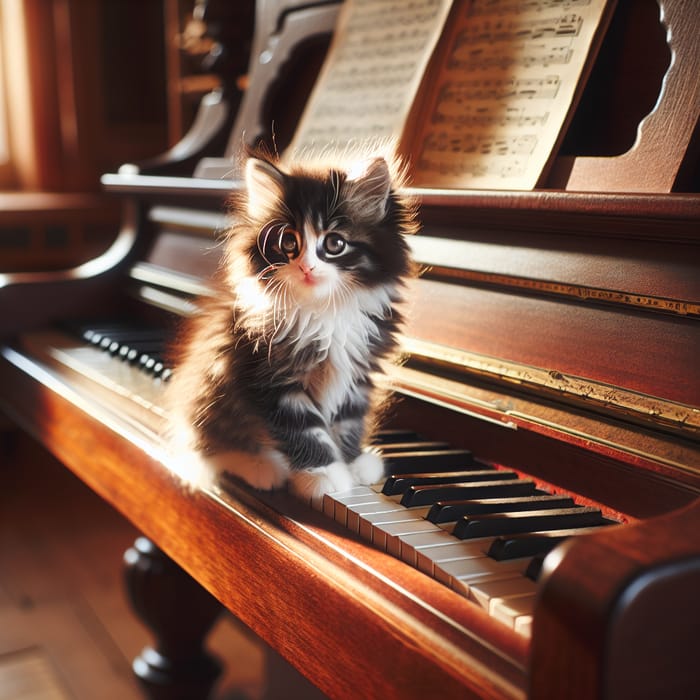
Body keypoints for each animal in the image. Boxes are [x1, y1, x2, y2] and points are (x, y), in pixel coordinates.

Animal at [165, 153, 416, 504]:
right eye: (288, 242)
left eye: (335, 243)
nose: (307, 267)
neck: (324, 310)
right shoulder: (272, 376)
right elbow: (306, 429)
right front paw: (323, 474)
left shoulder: (358, 373)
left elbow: (348, 421)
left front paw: (352, 462)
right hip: (212, 386)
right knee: (214, 444)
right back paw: (261, 465)